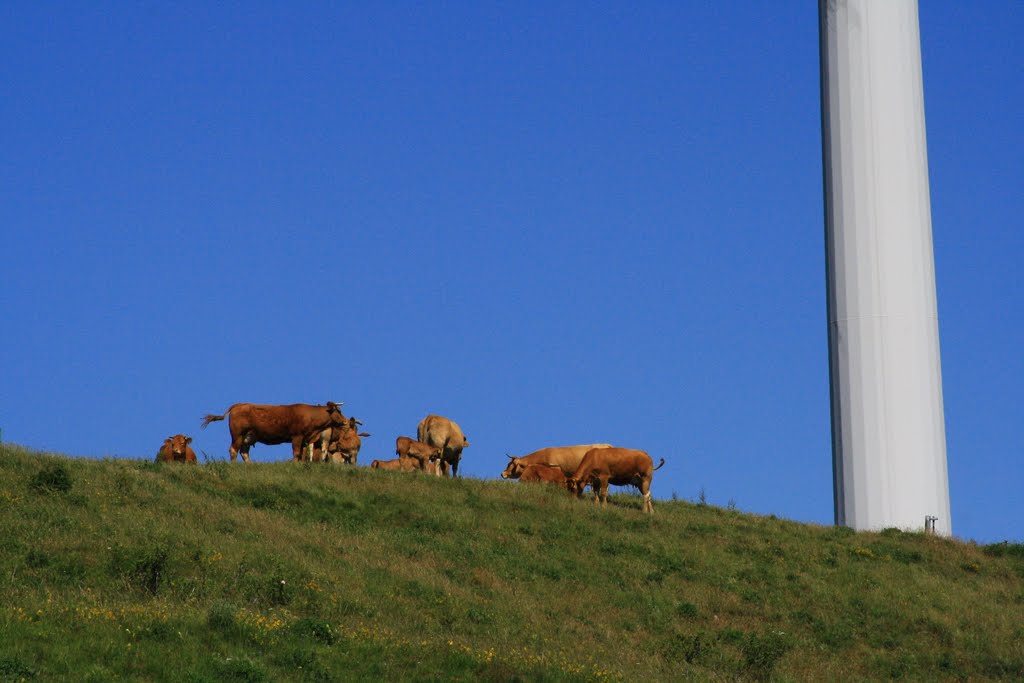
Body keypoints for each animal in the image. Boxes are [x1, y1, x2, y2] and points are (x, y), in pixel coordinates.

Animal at [199, 401, 348, 464]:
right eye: (339, 411)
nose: (345, 422)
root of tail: (238, 405)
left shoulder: (305, 438)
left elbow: (301, 454)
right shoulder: (297, 436)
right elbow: (296, 453)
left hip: (248, 437)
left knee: (244, 452)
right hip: (238, 435)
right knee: (233, 450)